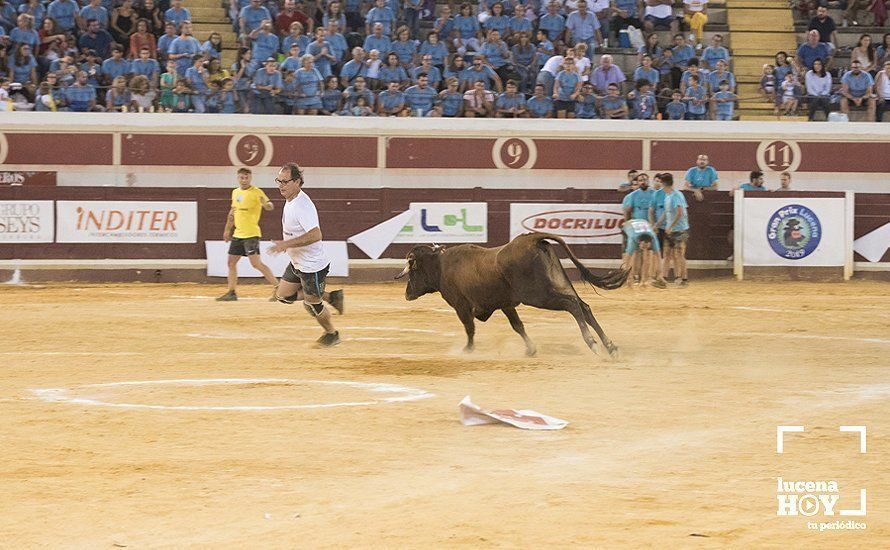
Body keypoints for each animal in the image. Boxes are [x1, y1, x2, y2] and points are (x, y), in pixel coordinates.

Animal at [396, 233, 624, 358]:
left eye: (412, 271)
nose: (406, 294)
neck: (441, 265)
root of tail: (532, 238)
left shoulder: (460, 305)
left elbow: (469, 327)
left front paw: (467, 349)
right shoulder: (506, 304)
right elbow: (517, 325)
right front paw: (530, 350)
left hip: (538, 295)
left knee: (572, 305)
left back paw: (593, 343)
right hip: (559, 283)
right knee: (583, 306)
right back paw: (611, 347)